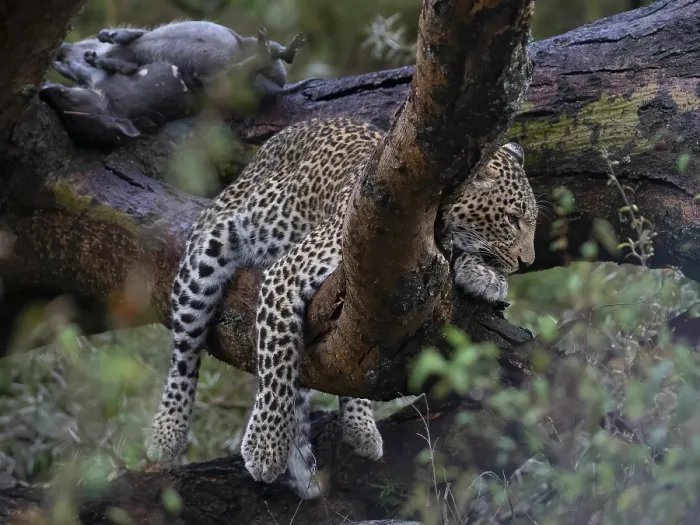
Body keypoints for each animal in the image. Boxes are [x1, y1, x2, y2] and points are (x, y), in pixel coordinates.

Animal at [145, 116, 537, 500]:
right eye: (513, 219)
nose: (526, 261)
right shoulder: (285, 275)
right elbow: (276, 365)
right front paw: (264, 447)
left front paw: (483, 275)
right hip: (208, 253)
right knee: (186, 348)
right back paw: (167, 431)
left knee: (349, 364)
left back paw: (355, 429)